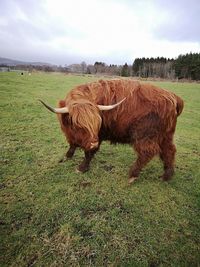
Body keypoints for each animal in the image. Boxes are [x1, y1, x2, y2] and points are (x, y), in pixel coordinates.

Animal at [39, 79, 184, 184]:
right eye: (77, 125)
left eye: (97, 123)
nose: (93, 143)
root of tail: (173, 96)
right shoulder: (72, 134)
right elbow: (72, 144)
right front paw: (68, 156)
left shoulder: (98, 135)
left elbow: (88, 153)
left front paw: (82, 168)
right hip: (166, 134)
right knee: (169, 151)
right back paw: (166, 176)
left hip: (145, 134)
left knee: (147, 152)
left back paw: (132, 175)